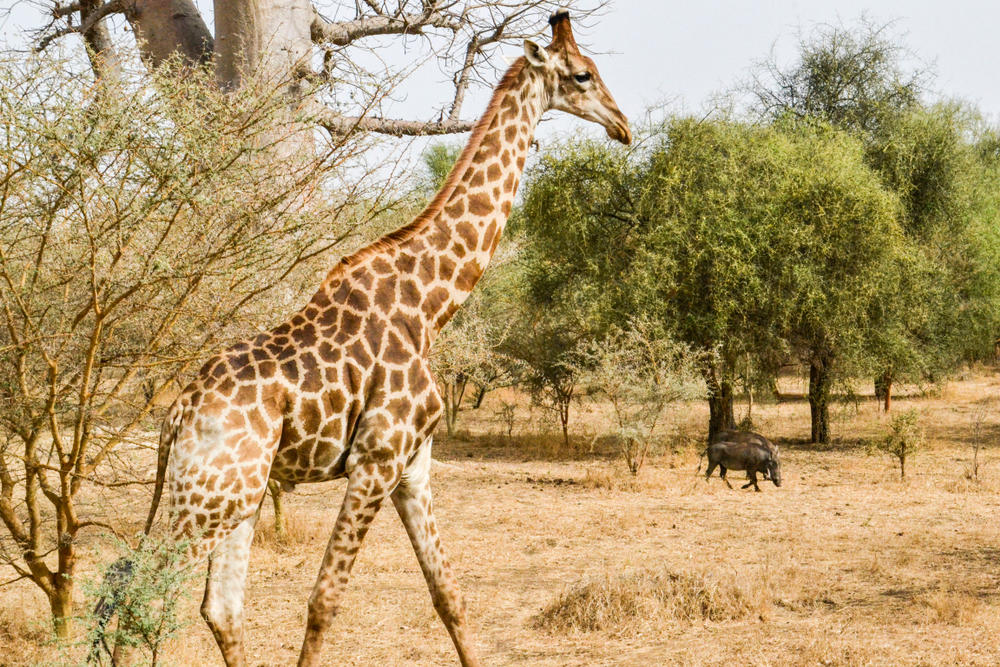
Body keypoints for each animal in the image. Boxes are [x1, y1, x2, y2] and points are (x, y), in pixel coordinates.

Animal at [137, 10, 631, 667]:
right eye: (582, 75)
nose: (624, 127)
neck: (430, 304)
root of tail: (176, 414)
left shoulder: (413, 467)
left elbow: (449, 594)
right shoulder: (375, 461)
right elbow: (323, 601)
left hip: (233, 495)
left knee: (217, 607)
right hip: (207, 499)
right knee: (132, 596)